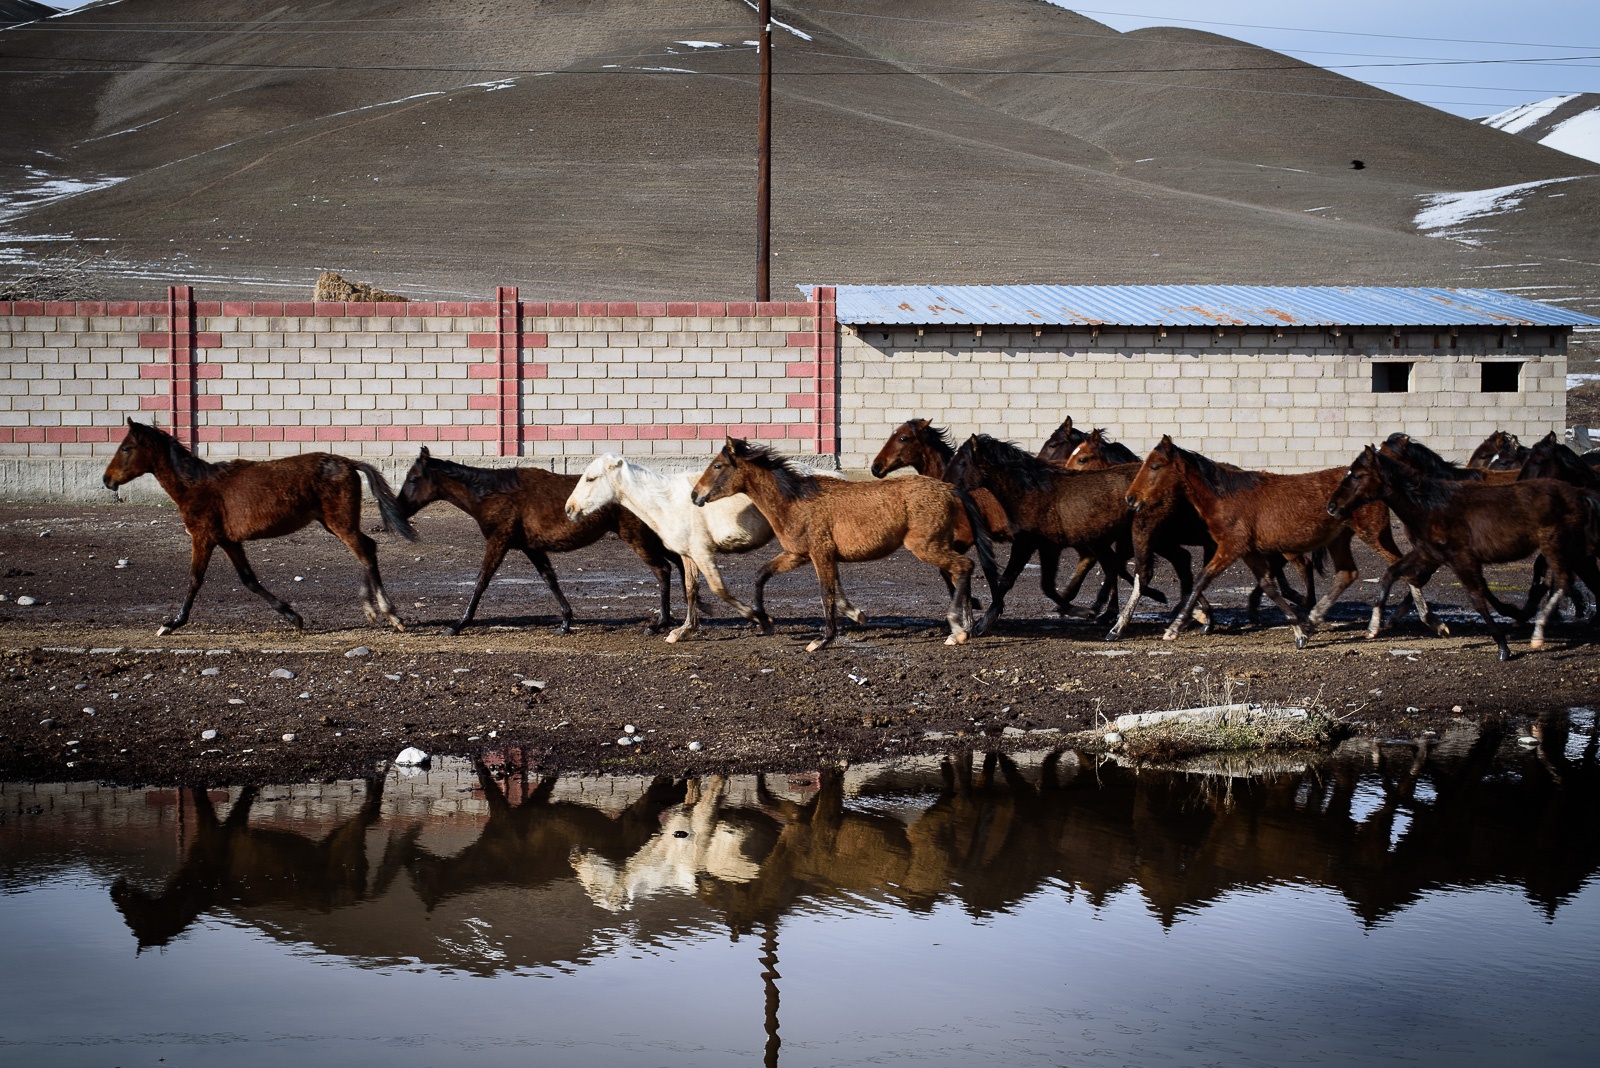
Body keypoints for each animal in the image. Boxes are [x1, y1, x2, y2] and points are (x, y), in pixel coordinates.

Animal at [100, 415, 412, 633]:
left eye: (126, 447)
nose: (106, 479)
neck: (195, 485)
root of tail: (349, 462)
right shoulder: (228, 540)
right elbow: (248, 579)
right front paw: (293, 616)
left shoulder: (202, 537)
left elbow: (194, 579)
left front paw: (171, 623)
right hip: (334, 523)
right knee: (367, 548)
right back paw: (372, 609)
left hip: (341, 523)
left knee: (365, 551)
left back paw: (390, 613)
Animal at [400, 447, 681, 639]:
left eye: (413, 479)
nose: (398, 509)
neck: (492, 494)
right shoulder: (531, 547)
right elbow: (549, 579)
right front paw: (566, 621)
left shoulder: (499, 540)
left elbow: (482, 581)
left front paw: (459, 624)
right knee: (678, 563)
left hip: (638, 538)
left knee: (663, 569)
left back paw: (659, 623)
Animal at [688, 434, 985, 652]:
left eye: (717, 466)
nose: (694, 495)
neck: (795, 501)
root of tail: (949, 489)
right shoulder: (796, 554)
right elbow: (761, 575)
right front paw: (764, 621)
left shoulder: (820, 554)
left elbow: (826, 593)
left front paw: (823, 639)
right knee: (959, 571)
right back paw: (967, 625)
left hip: (927, 547)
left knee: (964, 566)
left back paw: (958, 629)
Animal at [1126, 434, 1440, 652]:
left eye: (1155, 466)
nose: (1131, 498)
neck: (1224, 497)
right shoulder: (1249, 552)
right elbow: (1268, 586)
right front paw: (1300, 632)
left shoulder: (1230, 548)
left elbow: (1201, 580)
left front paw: (1174, 628)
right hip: (1340, 539)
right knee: (1348, 574)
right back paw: (1315, 618)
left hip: (1374, 534)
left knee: (1402, 568)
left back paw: (1423, 620)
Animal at [1324, 441, 1600, 658]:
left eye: (1357, 475)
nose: (1332, 506)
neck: (1429, 506)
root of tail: (1579, 494)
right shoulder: (1428, 555)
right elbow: (1391, 575)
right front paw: (1375, 625)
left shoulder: (1461, 559)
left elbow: (1477, 598)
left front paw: (1503, 647)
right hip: (1571, 551)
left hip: (1555, 546)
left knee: (1563, 581)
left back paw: (1539, 631)